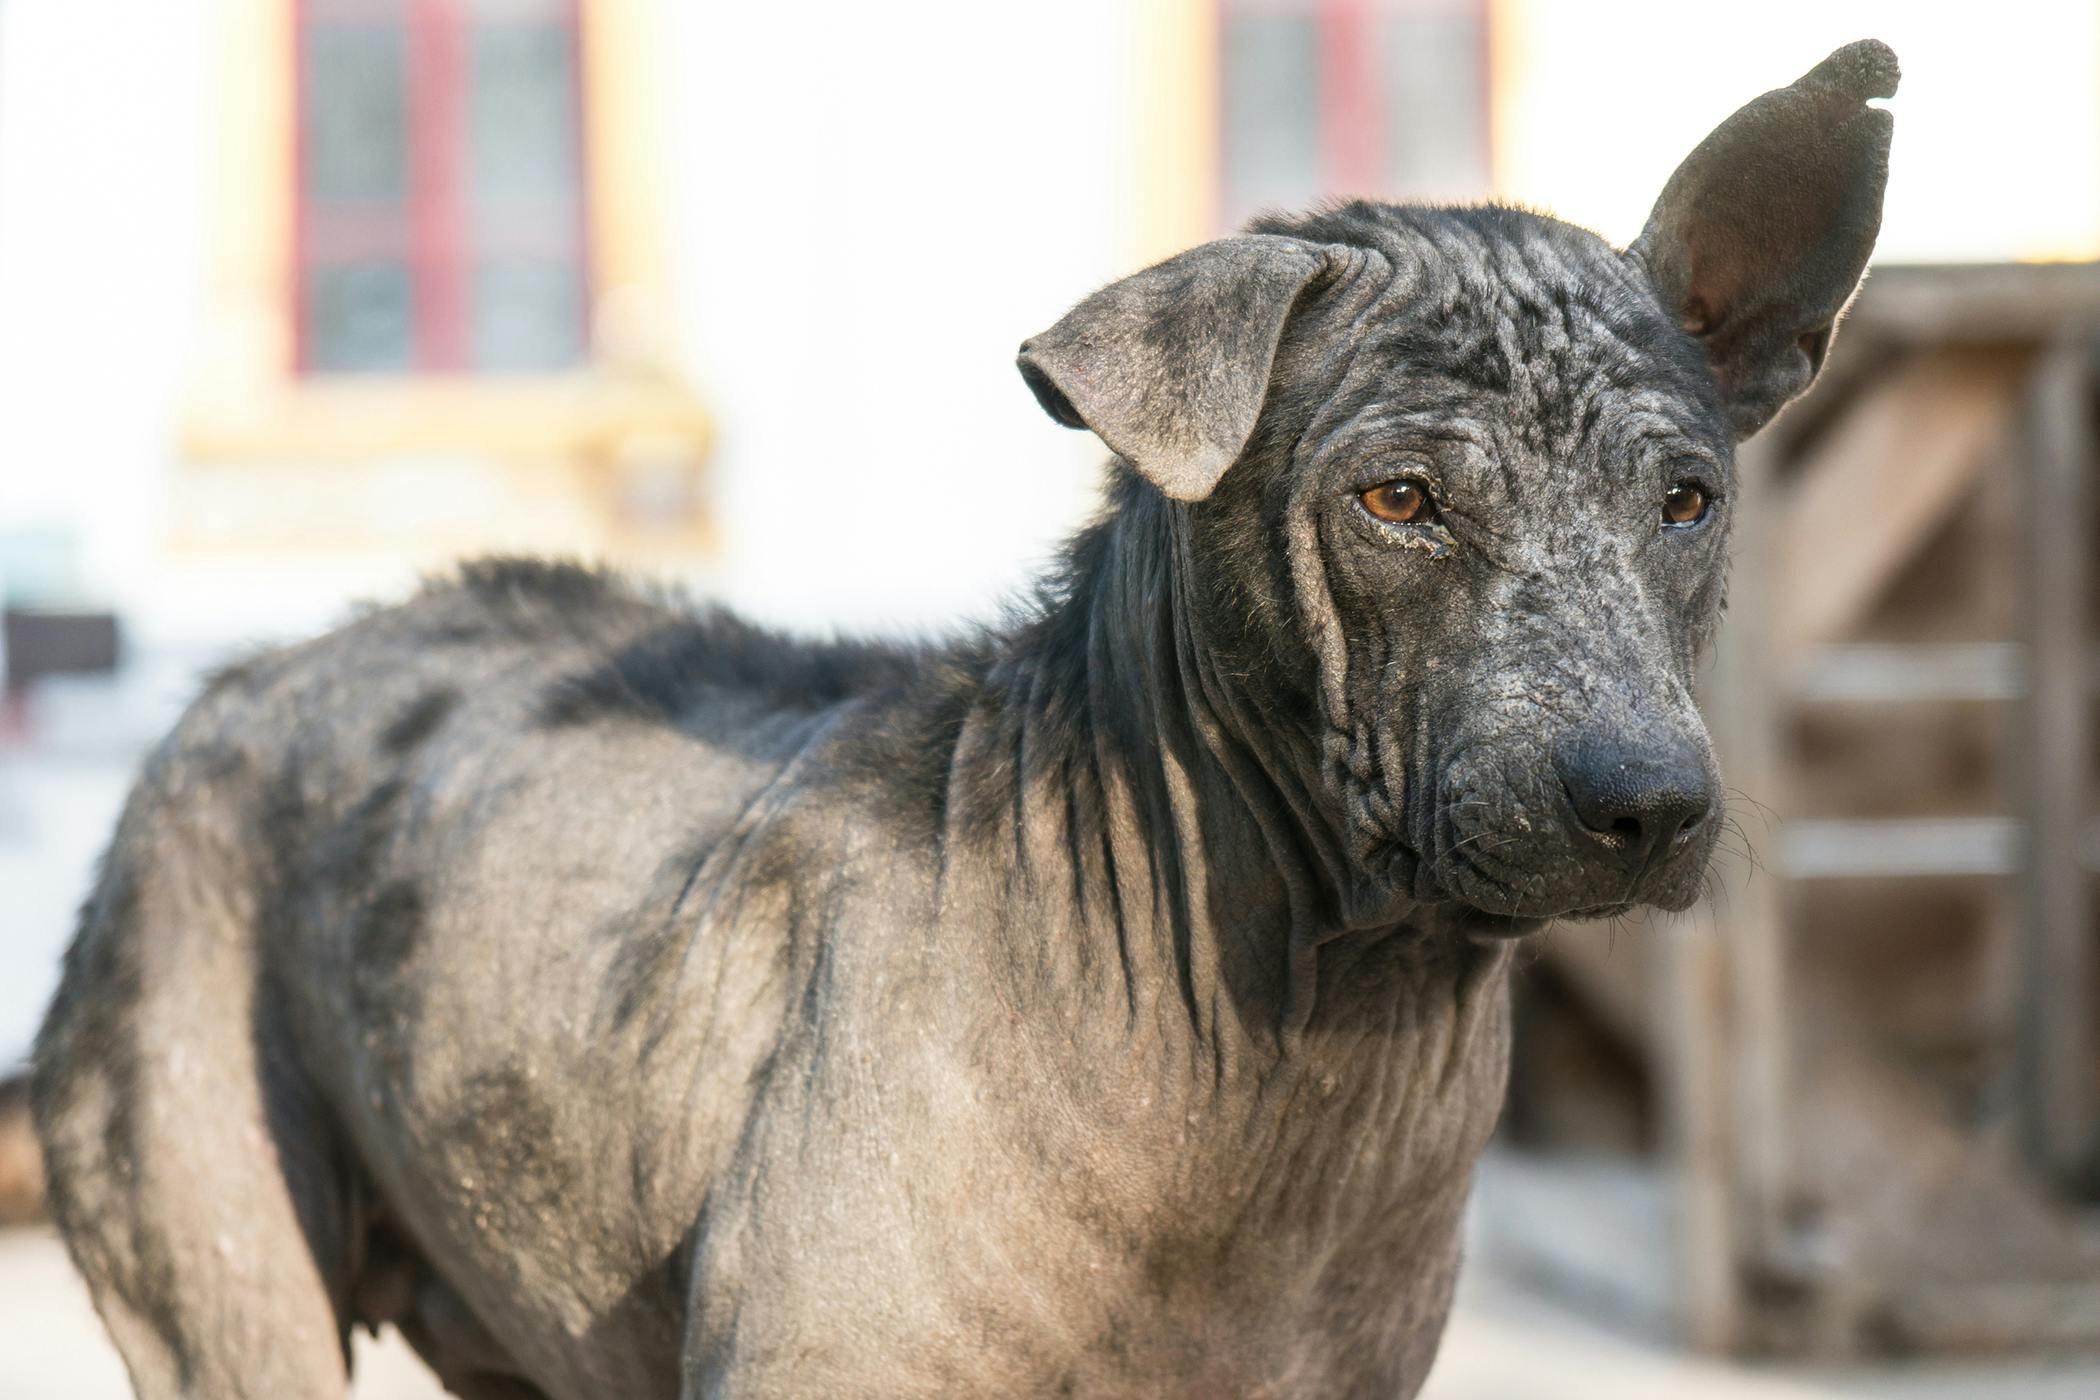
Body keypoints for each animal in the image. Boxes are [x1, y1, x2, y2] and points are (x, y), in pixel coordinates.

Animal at [32, 43, 1906, 1400]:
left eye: (1687, 501)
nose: (1646, 803)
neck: (1304, 1044)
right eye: (1398, 501)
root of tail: (240, 673)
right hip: (231, 1309)